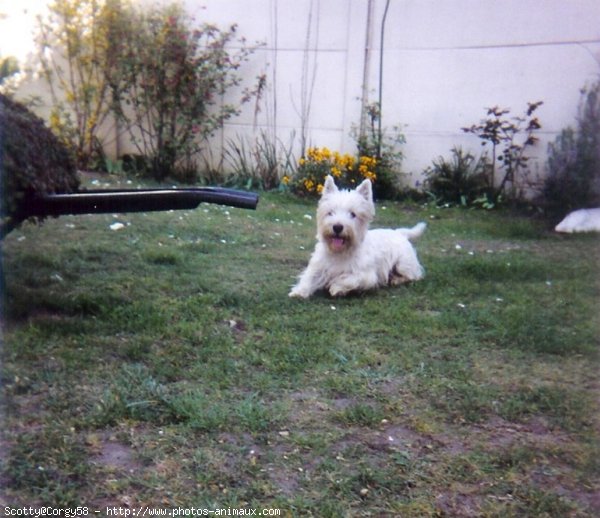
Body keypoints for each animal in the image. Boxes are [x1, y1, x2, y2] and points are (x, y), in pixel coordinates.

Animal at [288, 176, 424, 300]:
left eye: (353, 214)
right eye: (330, 212)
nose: (337, 227)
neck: (340, 252)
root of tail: (400, 233)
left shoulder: (367, 275)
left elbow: (349, 279)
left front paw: (336, 287)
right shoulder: (319, 266)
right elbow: (309, 277)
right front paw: (298, 292)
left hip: (403, 263)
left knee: (415, 275)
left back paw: (396, 279)